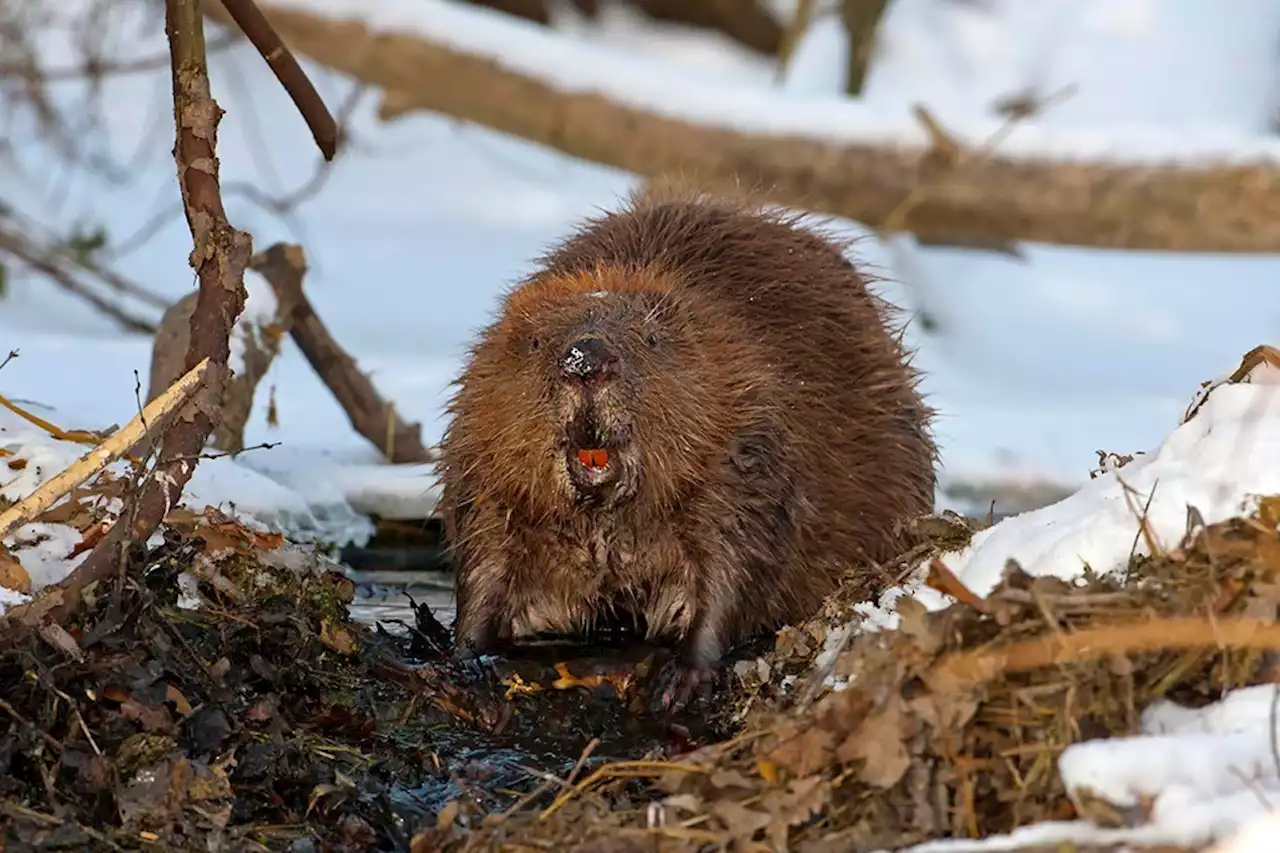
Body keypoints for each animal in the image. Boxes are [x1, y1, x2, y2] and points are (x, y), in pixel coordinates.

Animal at [435, 189, 936, 706]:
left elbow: (736, 560)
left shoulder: (742, 448)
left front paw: (684, 678)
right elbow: (484, 557)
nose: (586, 359)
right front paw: (465, 655)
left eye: (651, 338)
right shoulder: (481, 456)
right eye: (535, 341)